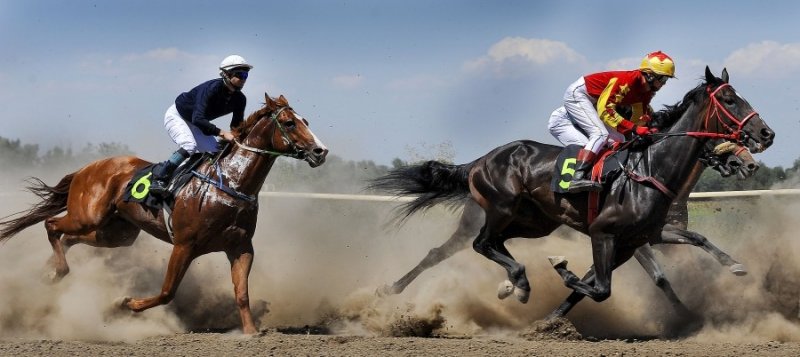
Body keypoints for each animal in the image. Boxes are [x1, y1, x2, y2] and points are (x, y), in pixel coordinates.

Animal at [0, 92, 328, 334]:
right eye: (288, 123)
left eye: (305, 120)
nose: (320, 152)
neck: (229, 183)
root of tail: (86, 168)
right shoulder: (184, 245)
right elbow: (168, 291)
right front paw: (124, 304)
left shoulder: (241, 246)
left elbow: (241, 292)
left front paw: (250, 332)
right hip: (87, 216)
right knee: (52, 225)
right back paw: (57, 272)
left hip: (115, 233)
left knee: (68, 238)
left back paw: (49, 272)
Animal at [370, 67, 776, 318]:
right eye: (730, 100)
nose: (765, 135)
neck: (650, 169)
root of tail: (481, 160)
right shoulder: (606, 234)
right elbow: (602, 286)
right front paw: (560, 272)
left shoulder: (643, 237)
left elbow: (694, 241)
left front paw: (733, 268)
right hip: (498, 209)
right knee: (471, 246)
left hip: (533, 223)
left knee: (492, 245)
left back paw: (511, 283)